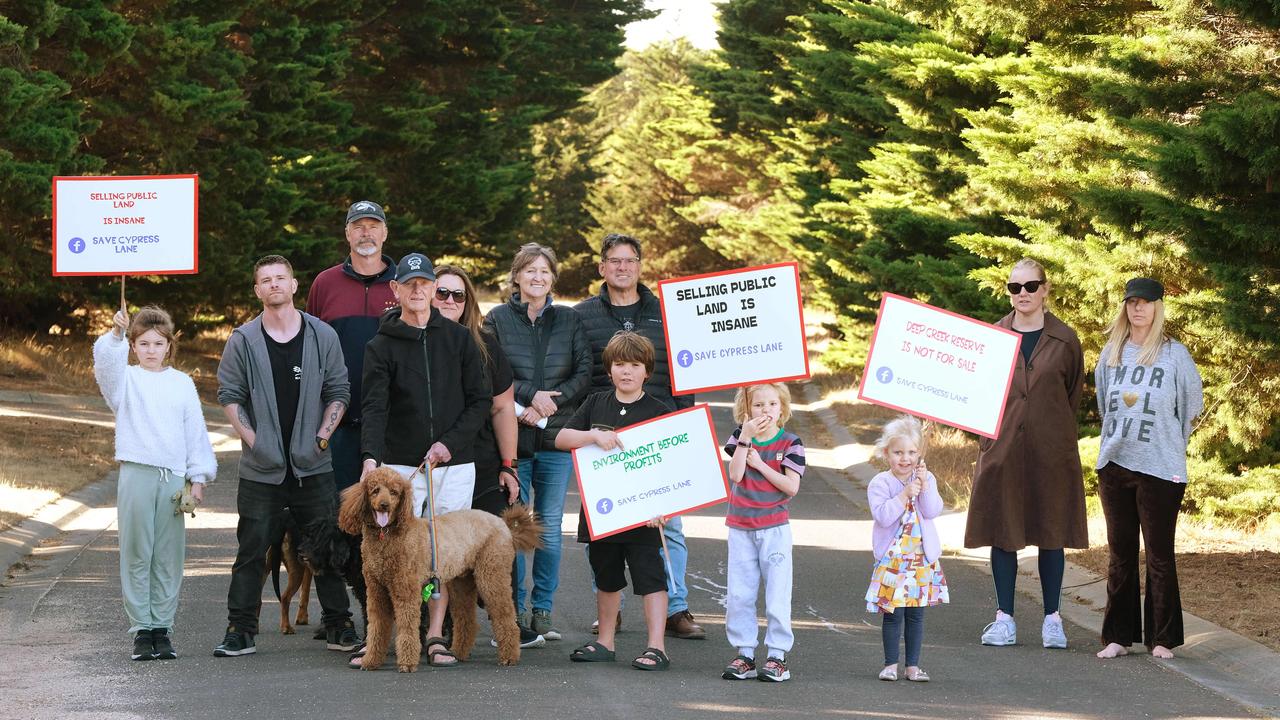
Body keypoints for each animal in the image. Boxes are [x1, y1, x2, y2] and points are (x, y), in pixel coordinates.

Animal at [335, 466, 540, 666]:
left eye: (394, 492)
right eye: (375, 490)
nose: (384, 505)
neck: (388, 535)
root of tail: (503, 524)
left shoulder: (405, 591)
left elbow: (407, 628)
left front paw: (407, 663)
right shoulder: (376, 590)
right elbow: (377, 627)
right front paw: (370, 660)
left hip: (491, 576)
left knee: (505, 617)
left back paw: (509, 656)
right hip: (461, 582)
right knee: (466, 620)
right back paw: (457, 653)